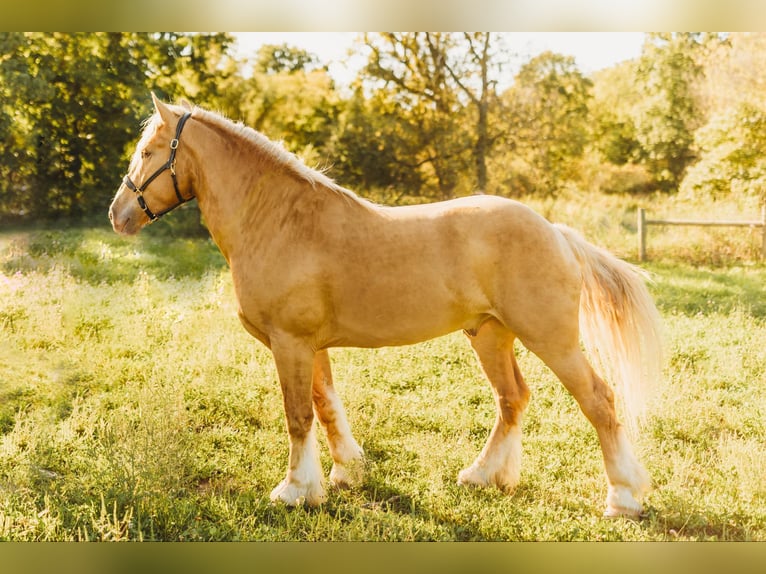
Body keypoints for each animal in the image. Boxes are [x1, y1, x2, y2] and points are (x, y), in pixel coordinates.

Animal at [109, 95, 664, 520]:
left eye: (148, 151)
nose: (118, 215)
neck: (279, 220)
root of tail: (556, 232)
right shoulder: (311, 346)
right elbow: (326, 407)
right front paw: (343, 473)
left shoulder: (290, 343)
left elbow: (298, 415)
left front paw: (294, 491)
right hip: (490, 335)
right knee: (512, 399)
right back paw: (484, 475)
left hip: (550, 338)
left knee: (598, 400)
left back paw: (622, 498)